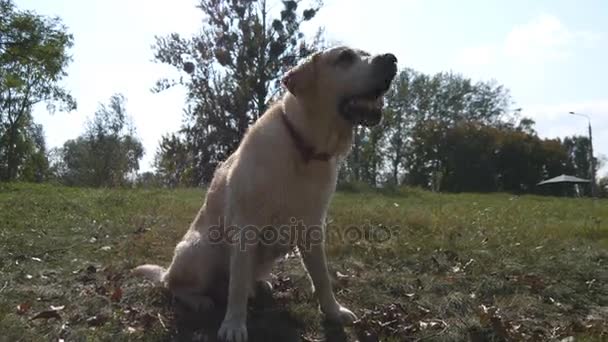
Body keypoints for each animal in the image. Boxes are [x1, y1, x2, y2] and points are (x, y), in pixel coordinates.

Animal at [134, 46, 400, 342]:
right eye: (345, 57)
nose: (391, 59)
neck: (304, 150)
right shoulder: (245, 227)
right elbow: (237, 286)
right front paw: (234, 325)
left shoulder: (312, 229)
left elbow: (322, 278)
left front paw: (333, 311)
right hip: (200, 248)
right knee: (175, 285)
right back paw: (199, 299)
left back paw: (260, 285)